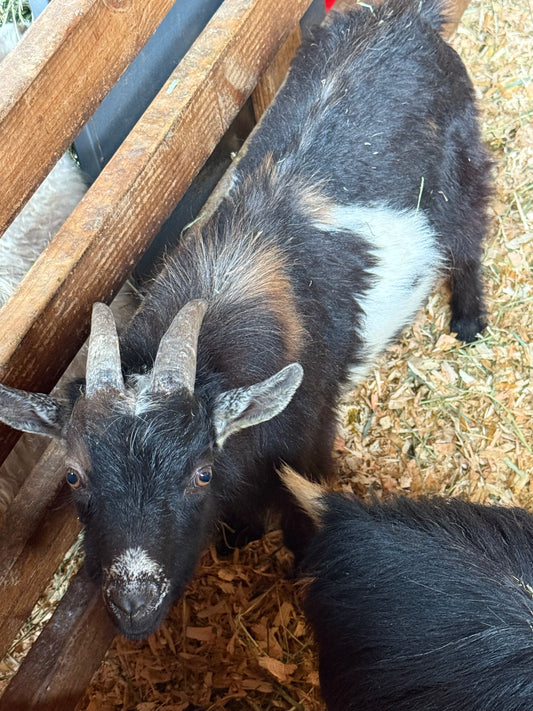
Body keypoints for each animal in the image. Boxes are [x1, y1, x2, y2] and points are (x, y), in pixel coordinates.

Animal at [0, 0, 491, 638]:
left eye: (200, 473)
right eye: (73, 476)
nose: (134, 604)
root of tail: (405, 19)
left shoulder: (307, 440)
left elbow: (304, 509)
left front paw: (302, 564)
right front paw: (239, 538)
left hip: (462, 167)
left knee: (470, 238)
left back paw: (470, 321)